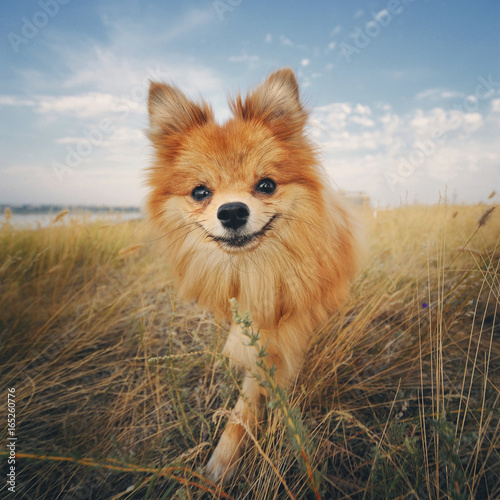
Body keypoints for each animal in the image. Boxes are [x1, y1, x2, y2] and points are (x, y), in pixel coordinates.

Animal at [145, 68, 360, 482]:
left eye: (266, 185)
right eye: (200, 192)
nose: (231, 211)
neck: (253, 269)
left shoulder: (281, 337)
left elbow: (251, 398)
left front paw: (229, 456)